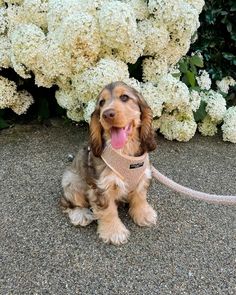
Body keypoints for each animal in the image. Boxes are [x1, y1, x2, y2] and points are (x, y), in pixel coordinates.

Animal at [60, 81, 157, 245]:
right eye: (102, 102)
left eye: (124, 97)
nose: (107, 114)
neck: (124, 153)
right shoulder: (101, 187)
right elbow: (108, 211)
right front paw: (114, 232)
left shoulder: (143, 176)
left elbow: (140, 197)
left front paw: (144, 214)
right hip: (71, 181)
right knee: (67, 203)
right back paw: (81, 215)